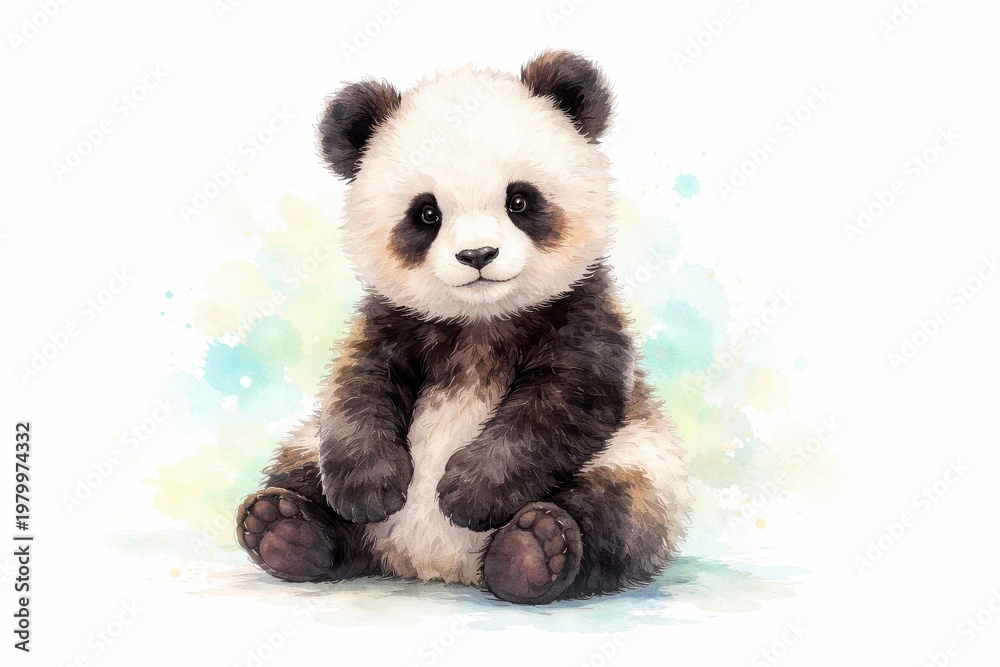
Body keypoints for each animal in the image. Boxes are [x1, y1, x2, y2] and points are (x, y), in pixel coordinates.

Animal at [235, 50, 690, 605]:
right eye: (426, 213)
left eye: (519, 201)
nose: (477, 255)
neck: (480, 322)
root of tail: (429, 564)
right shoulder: (393, 320)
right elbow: (356, 386)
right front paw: (369, 490)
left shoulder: (584, 316)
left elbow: (556, 405)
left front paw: (470, 493)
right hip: (305, 447)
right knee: (304, 479)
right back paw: (282, 528)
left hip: (639, 459)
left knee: (618, 512)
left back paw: (530, 552)